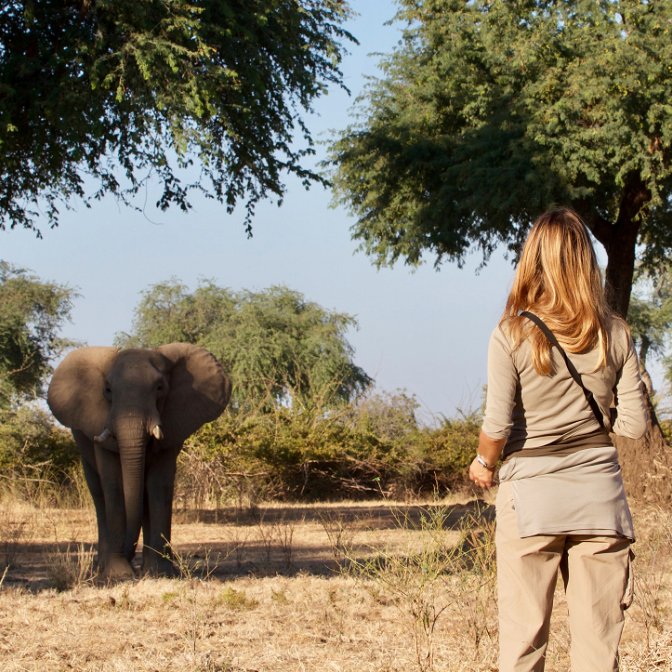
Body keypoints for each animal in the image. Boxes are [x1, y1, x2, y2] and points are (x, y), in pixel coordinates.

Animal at [47, 344, 231, 580]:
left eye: (160, 387)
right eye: (108, 390)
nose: (130, 564)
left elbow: (158, 485)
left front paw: (161, 573)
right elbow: (113, 485)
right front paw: (119, 574)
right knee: (98, 493)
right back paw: (100, 568)